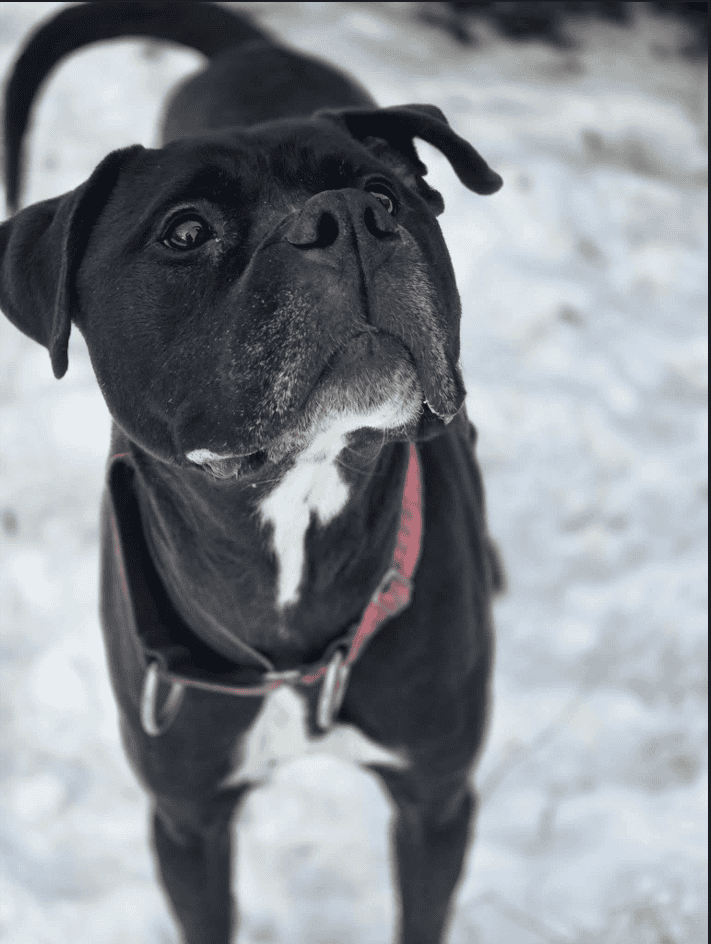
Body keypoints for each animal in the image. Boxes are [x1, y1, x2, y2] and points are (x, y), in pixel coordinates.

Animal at [1, 3, 504, 941]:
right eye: (185, 231)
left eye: (386, 195)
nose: (348, 216)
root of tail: (249, 49)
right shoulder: (186, 820)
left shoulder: (436, 797)